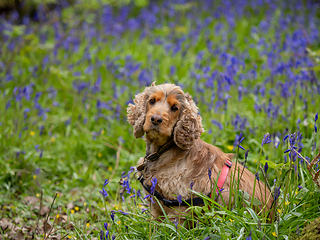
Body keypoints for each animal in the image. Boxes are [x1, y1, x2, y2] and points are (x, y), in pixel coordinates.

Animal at [127, 82, 272, 223]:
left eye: (175, 107)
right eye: (152, 101)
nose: (156, 119)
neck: (164, 151)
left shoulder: (179, 208)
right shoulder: (156, 206)